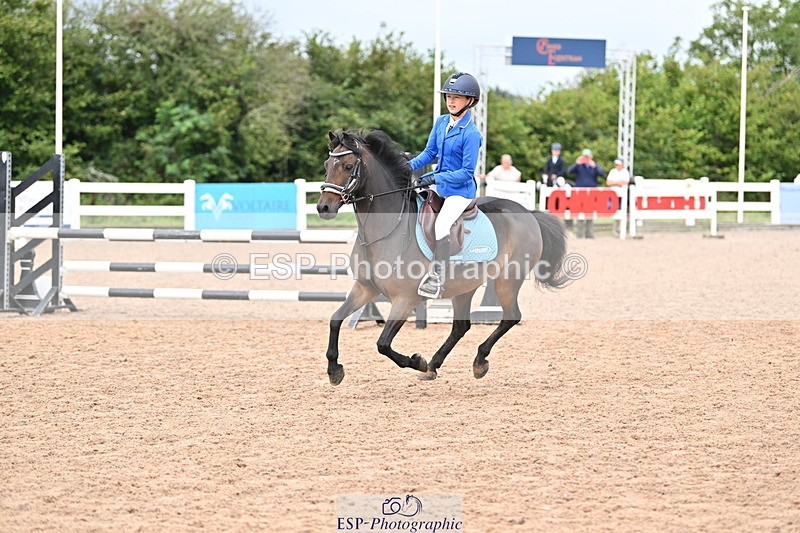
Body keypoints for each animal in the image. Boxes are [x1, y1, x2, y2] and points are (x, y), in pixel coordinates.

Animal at [317, 129, 569, 385]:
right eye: (327, 165)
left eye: (348, 166)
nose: (323, 208)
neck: (387, 230)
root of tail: (528, 213)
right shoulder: (365, 288)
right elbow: (335, 319)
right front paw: (334, 369)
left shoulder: (405, 299)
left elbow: (383, 344)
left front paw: (417, 361)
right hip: (464, 286)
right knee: (461, 326)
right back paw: (434, 365)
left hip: (506, 280)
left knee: (510, 317)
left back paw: (477, 361)